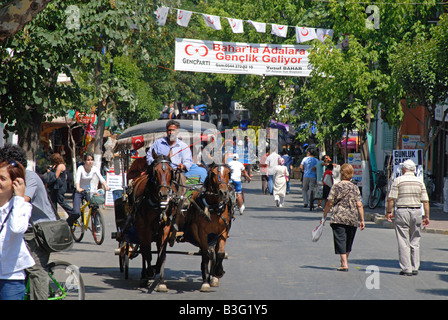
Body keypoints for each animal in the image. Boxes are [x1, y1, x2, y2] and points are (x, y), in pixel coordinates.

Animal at [130, 154, 174, 288]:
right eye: (155, 171)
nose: (164, 193)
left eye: (171, 170)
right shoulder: (144, 227)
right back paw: (144, 274)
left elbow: (161, 252)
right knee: (144, 249)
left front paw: (158, 272)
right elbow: (147, 251)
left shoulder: (165, 226)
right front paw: (149, 272)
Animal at [181, 164, 234, 292]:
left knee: (213, 253)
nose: (223, 192)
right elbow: (205, 255)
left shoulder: (223, 231)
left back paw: (213, 276)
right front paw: (205, 282)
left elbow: (220, 253)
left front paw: (218, 272)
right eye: (213, 174)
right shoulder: (202, 233)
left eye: (228, 173)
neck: (213, 208)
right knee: (207, 253)